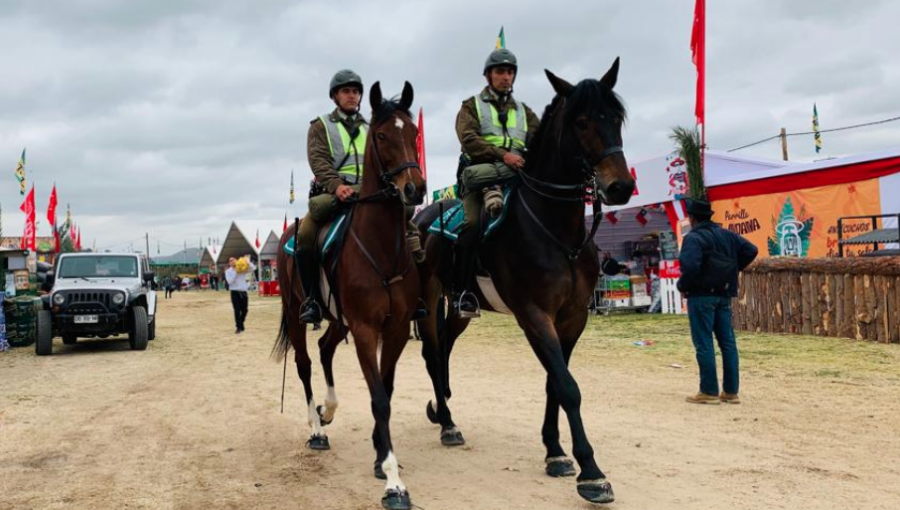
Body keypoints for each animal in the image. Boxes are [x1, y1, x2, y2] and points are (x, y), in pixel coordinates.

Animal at [274, 81, 426, 508]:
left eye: (413, 132)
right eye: (382, 135)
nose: (415, 189)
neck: (381, 247)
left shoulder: (394, 329)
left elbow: (386, 392)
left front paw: (380, 457)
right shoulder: (364, 330)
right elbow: (378, 398)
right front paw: (392, 481)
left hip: (339, 321)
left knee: (325, 348)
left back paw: (328, 410)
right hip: (297, 312)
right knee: (306, 363)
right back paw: (316, 428)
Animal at [414, 58, 632, 502]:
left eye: (616, 118)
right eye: (581, 121)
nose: (620, 186)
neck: (558, 233)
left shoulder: (572, 317)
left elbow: (555, 383)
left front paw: (555, 451)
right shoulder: (534, 315)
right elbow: (567, 387)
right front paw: (591, 472)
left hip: (460, 307)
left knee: (444, 348)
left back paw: (445, 414)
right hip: (427, 297)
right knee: (431, 351)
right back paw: (447, 423)